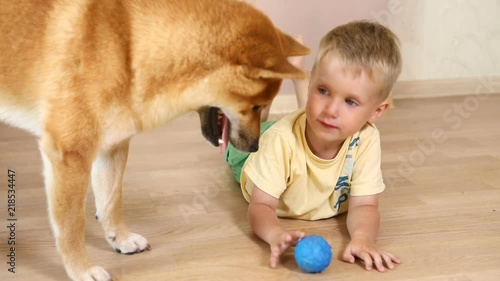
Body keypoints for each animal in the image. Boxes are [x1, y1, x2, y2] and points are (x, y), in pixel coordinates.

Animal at [0, 0, 308, 278]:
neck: (129, 46)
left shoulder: (112, 147)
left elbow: (110, 201)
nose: (256, 147)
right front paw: (81, 270)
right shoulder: (70, 155)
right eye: (256, 106)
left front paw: (120, 240)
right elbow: (71, 227)